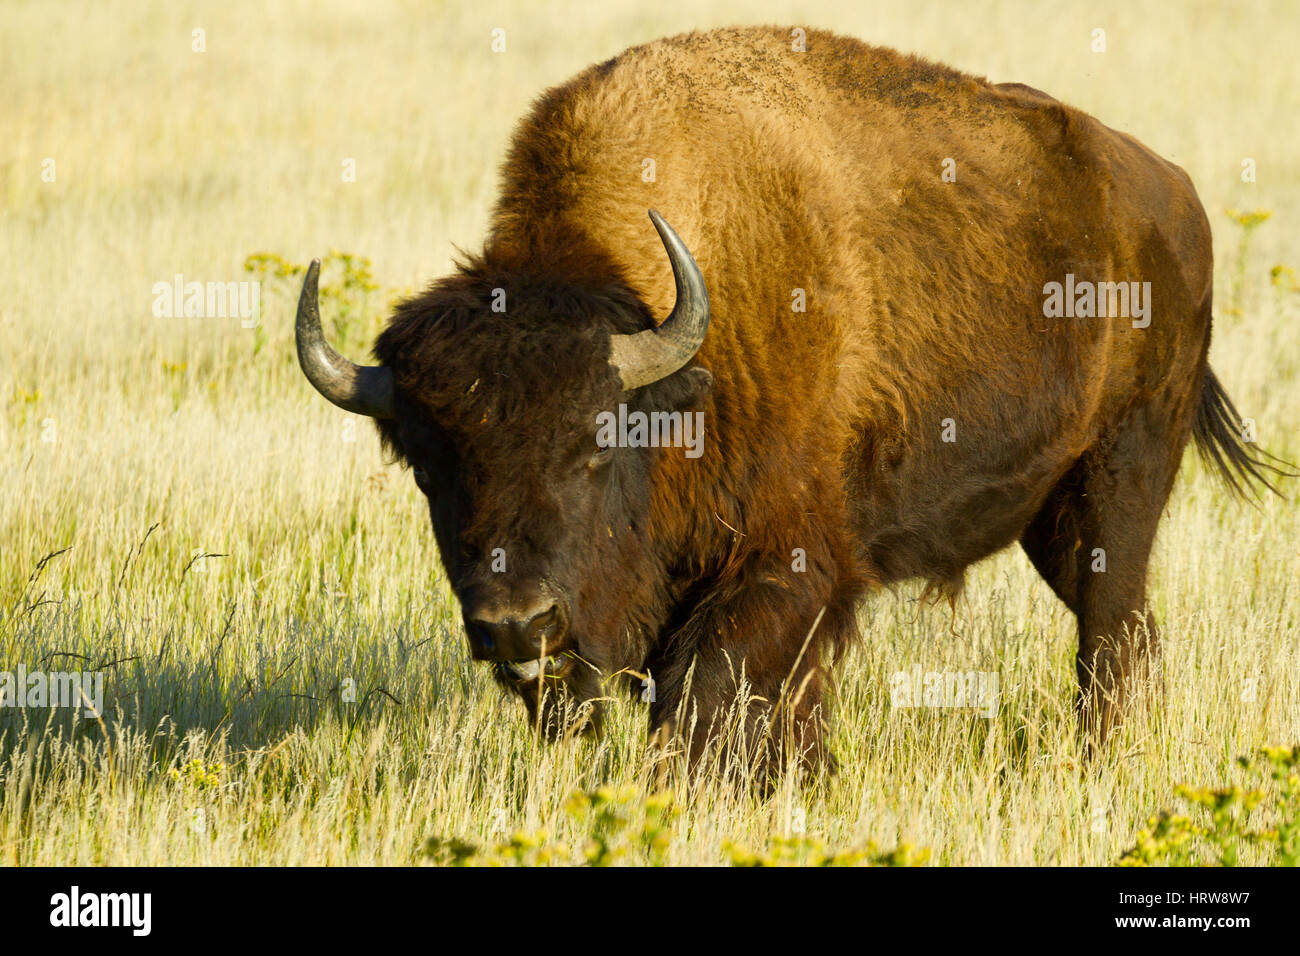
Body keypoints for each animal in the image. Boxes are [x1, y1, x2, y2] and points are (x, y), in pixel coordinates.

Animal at [292, 27, 1289, 780]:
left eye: (595, 446)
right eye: (430, 470)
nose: (517, 625)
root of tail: (1174, 193)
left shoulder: (785, 568)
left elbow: (711, 701)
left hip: (1122, 475)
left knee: (1109, 627)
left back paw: (1101, 760)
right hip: (1048, 513)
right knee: (1128, 628)